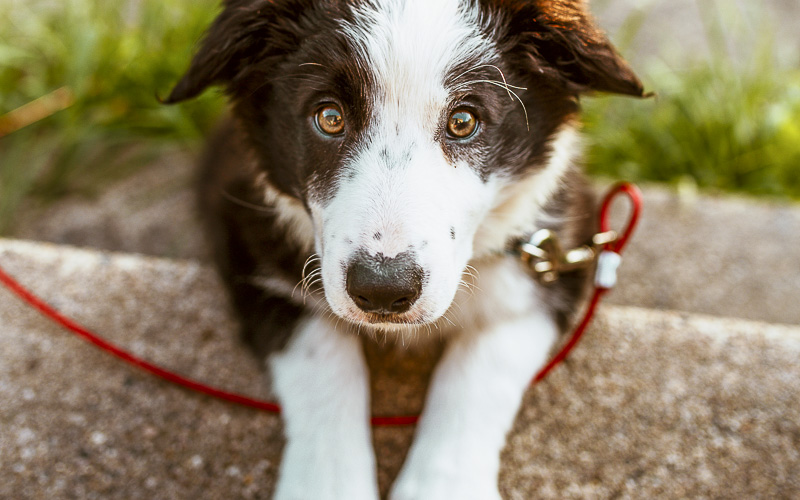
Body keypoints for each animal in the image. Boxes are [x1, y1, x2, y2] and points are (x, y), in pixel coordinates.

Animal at [167, 1, 644, 498]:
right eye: (329, 117)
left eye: (463, 122)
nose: (382, 291)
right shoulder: (248, 240)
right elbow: (321, 359)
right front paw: (328, 486)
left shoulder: (554, 255)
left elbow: (480, 370)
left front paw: (443, 487)